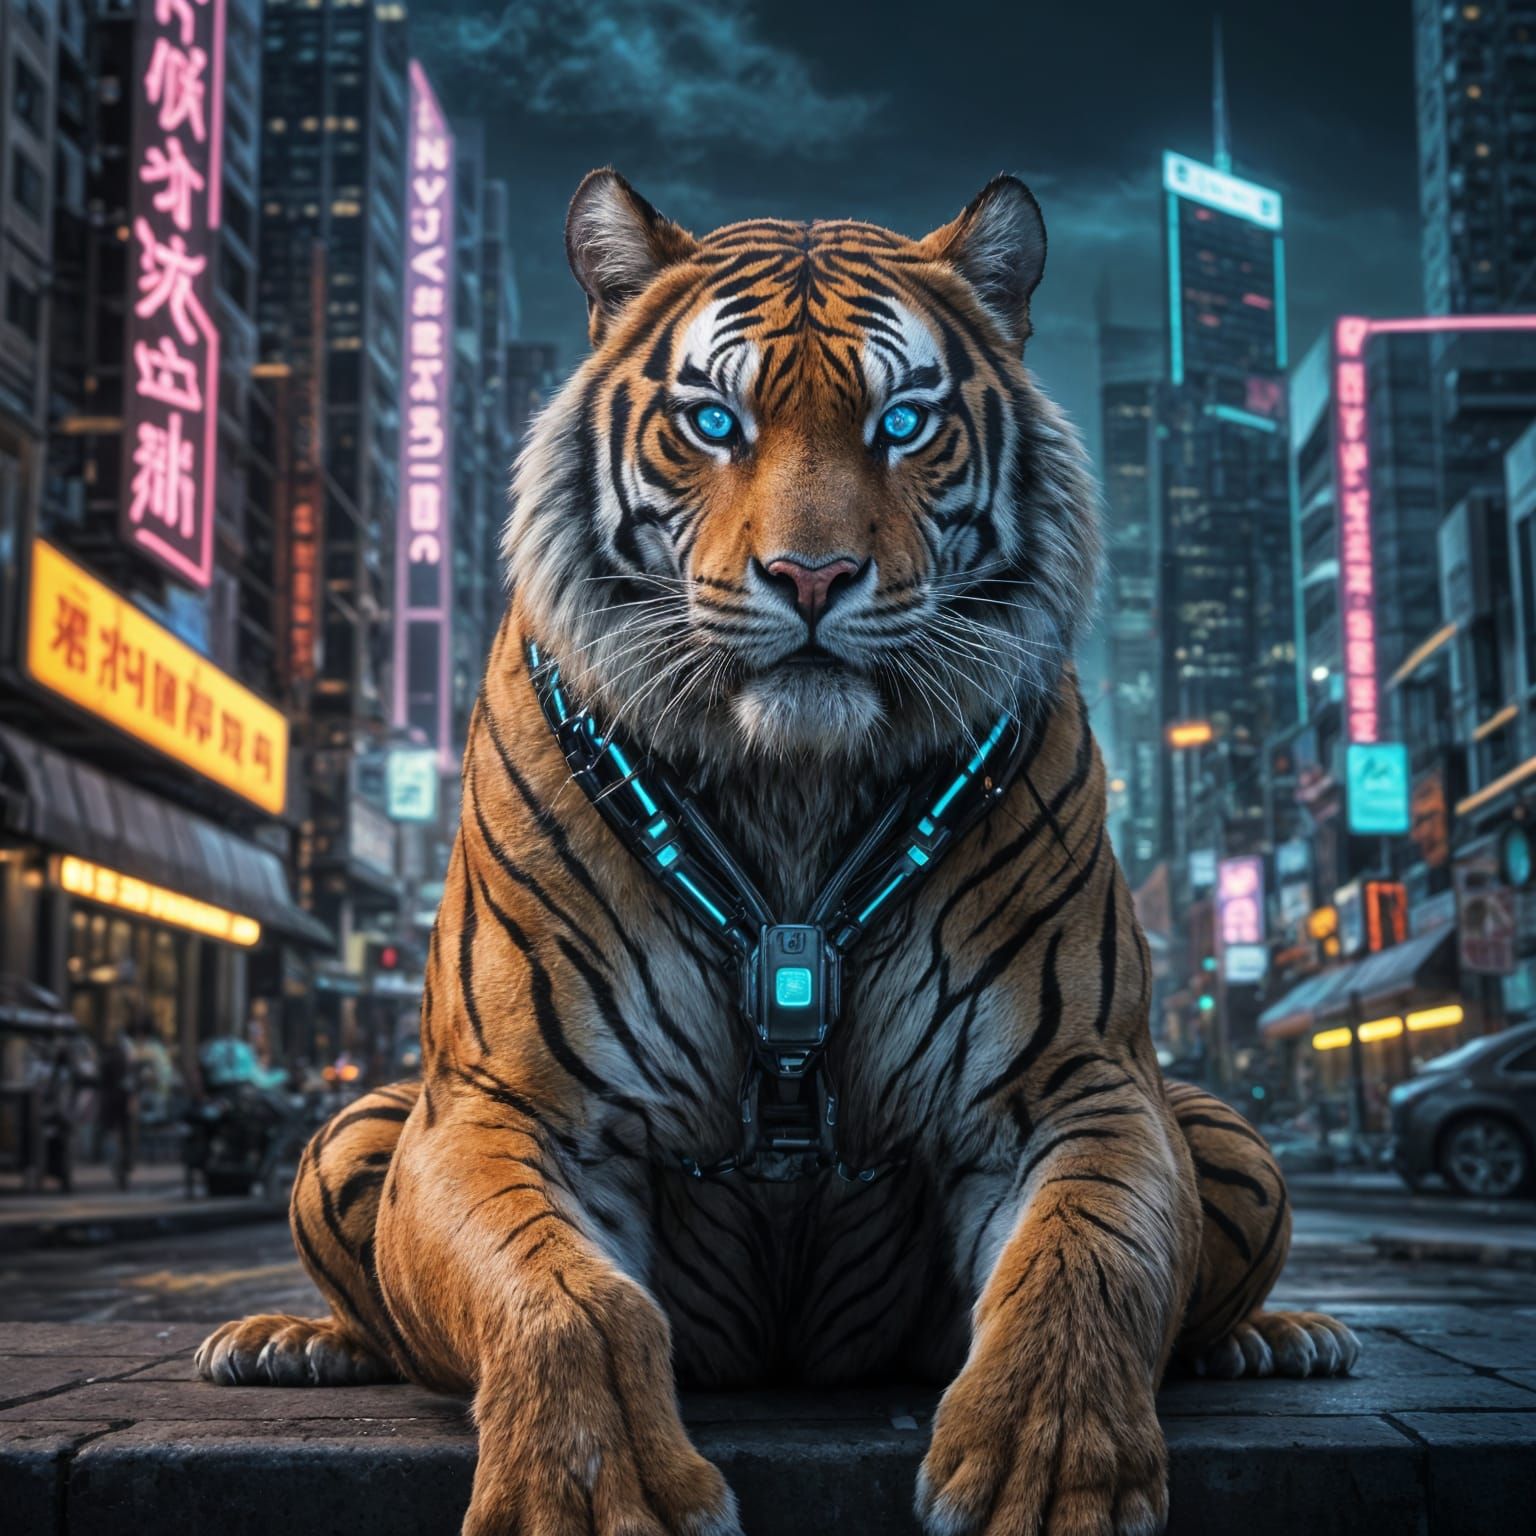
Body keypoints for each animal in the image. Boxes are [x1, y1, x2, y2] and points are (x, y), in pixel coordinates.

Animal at [198, 169, 1358, 1536]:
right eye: (712, 420)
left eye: (904, 422)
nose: (812, 575)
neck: (795, 788)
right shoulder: (499, 1105)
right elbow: (566, 1298)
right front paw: (590, 1490)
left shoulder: (1081, 1083)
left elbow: (1086, 1259)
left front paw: (1048, 1469)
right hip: (351, 1130)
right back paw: (281, 1343)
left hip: (1232, 1133)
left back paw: (1282, 1338)